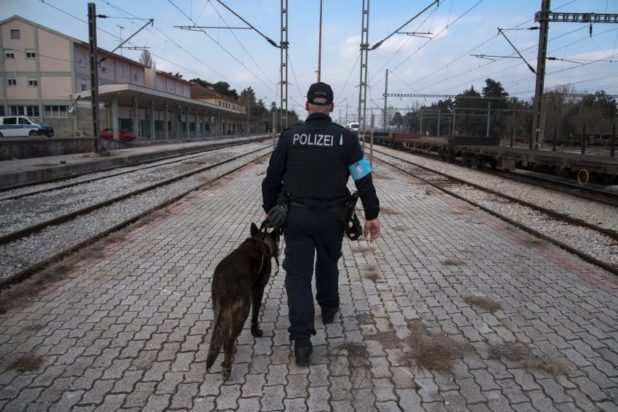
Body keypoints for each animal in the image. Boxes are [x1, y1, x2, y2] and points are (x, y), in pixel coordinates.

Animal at [206, 222, 281, 379]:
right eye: (277, 242)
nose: (279, 251)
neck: (261, 241)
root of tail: (224, 283)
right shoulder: (258, 289)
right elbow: (255, 316)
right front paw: (256, 332)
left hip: (220, 311)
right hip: (242, 311)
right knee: (229, 340)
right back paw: (227, 367)